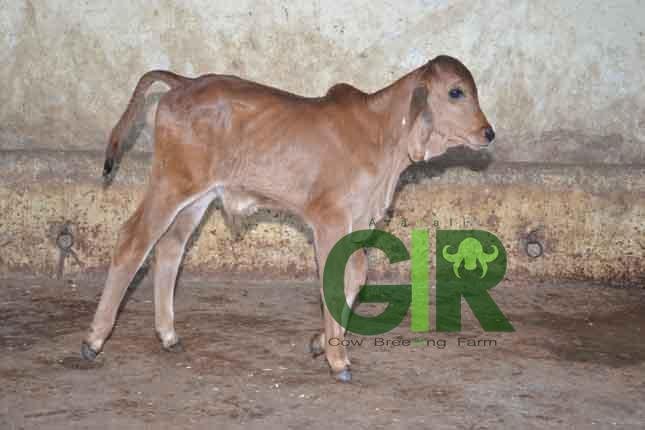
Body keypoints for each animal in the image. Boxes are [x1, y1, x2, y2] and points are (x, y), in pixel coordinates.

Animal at [81, 55, 495, 382]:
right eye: (456, 92)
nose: (488, 133)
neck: (383, 137)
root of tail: (184, 82)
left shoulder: (359, 220)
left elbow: (356, 275)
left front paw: (319, 343)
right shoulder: (329, 219)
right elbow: (333, 280)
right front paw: (338, 360)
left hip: (198, 197)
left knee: (169, 247)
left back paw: (168, 335)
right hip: (171, 182)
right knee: (134, 240)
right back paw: (94, 339)